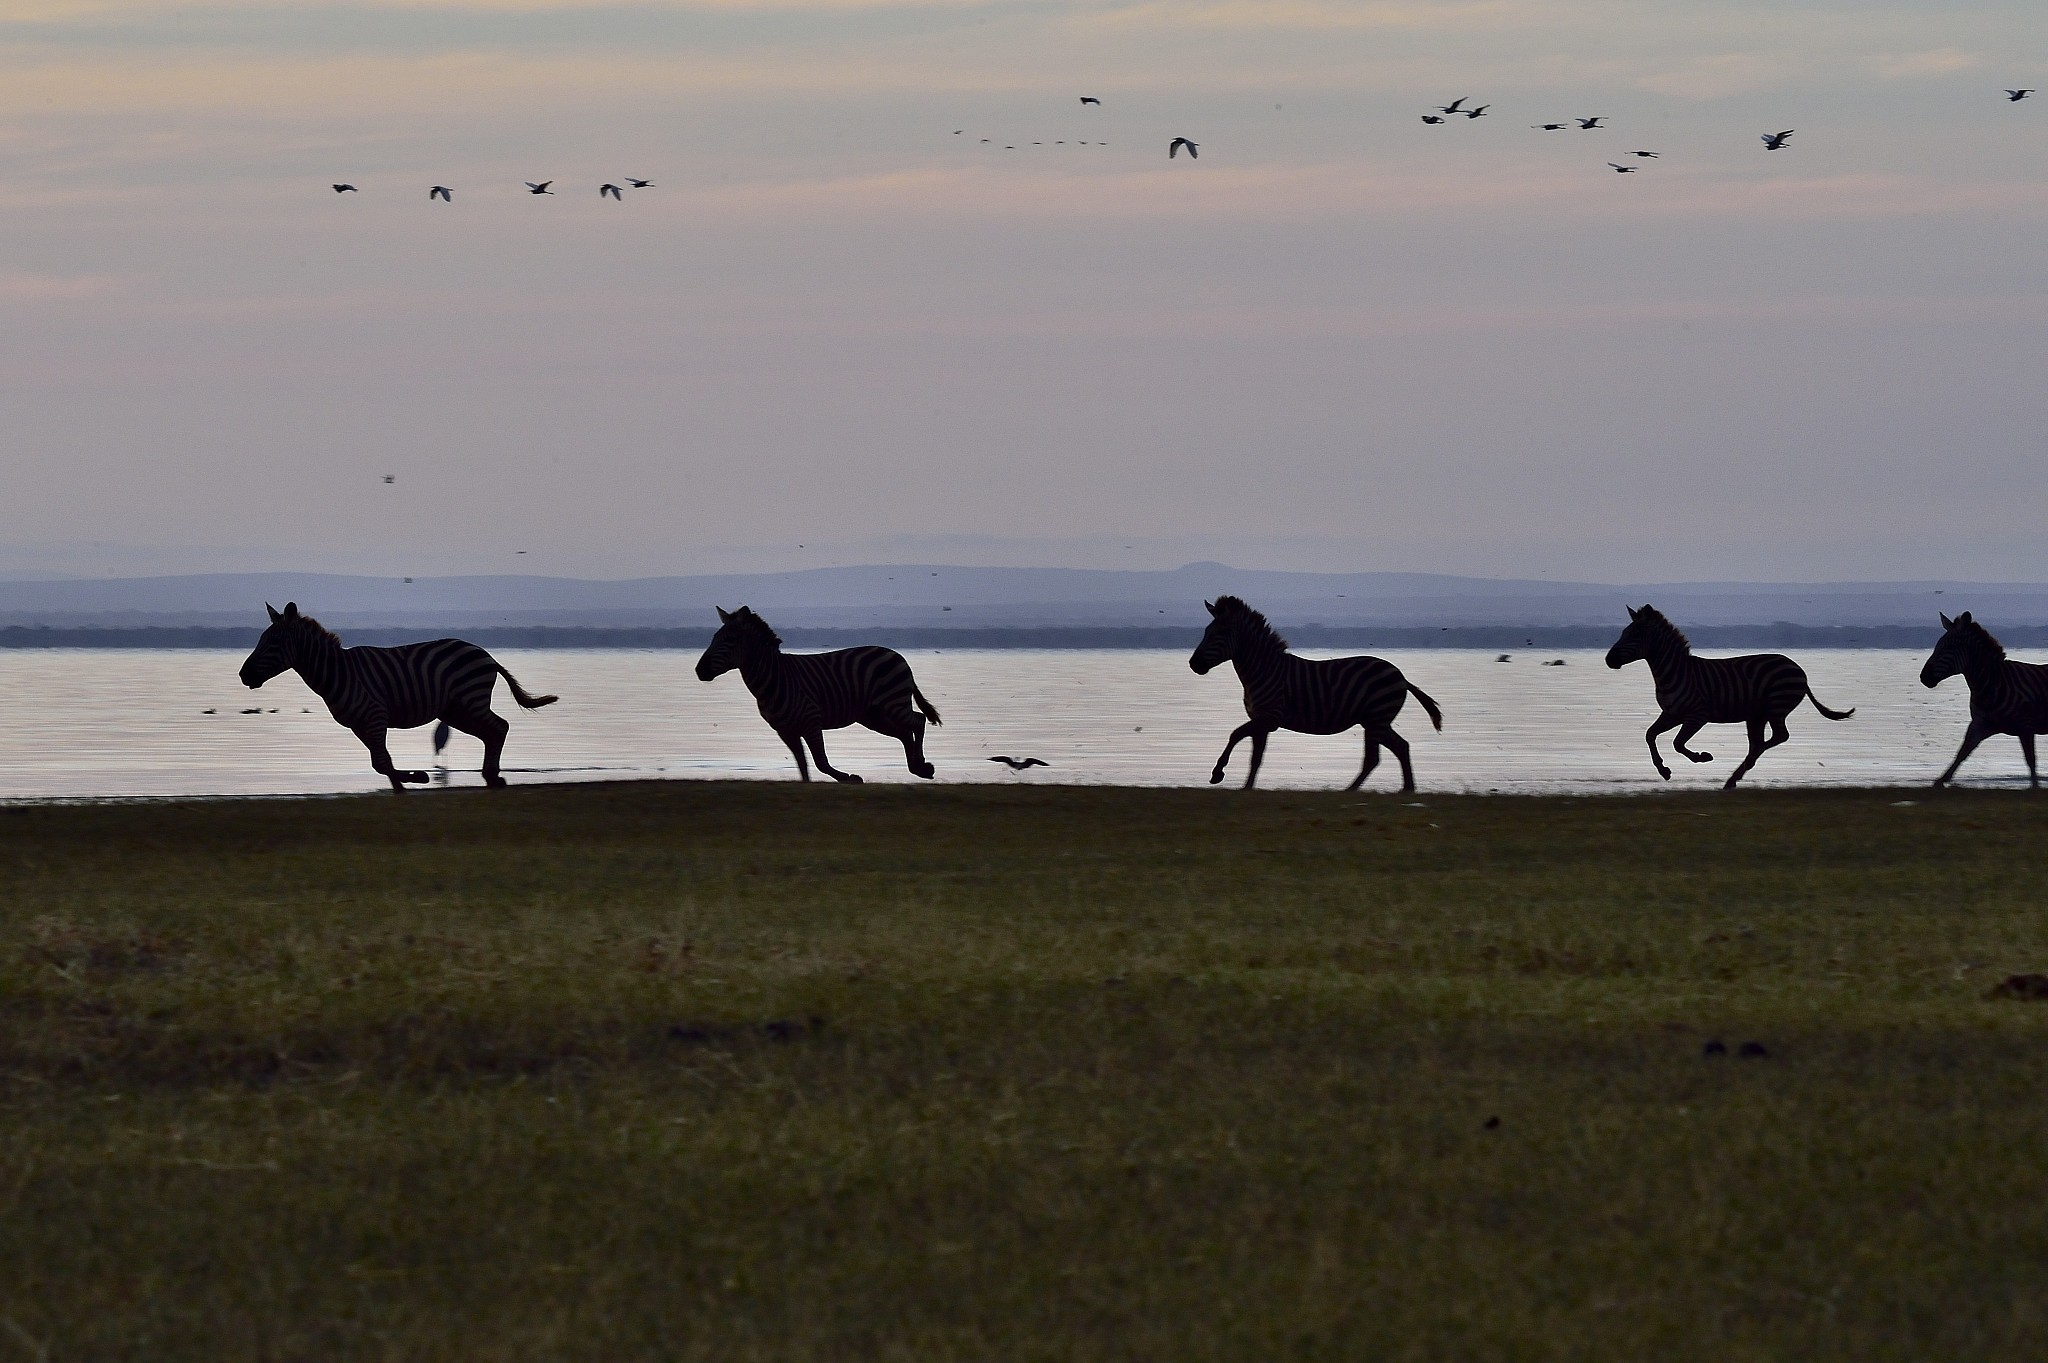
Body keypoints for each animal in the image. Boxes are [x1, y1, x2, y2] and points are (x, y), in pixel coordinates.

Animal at [237, 601, 557, 790]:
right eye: (261, 640)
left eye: (273, 642)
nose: (243, 675)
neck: (338, 672)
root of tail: (486, 654)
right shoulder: (359, 724)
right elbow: (382, 762)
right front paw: (401, 784)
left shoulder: (375, 715)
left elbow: (381, 762)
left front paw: (414, 778)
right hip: (455, 711)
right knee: (491, 732)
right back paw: (490, 774)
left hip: (469, 702)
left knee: (499, 727)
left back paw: (492, 775)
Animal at [695, 606, 941, 783]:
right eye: (714, 637)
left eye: (730, 639)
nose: (699, 670)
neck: (774, 678)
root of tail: (897, 655)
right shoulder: (785, 730)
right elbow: (802, 765)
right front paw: (808, 786)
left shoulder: (811, 721)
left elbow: (820, 761)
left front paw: (850, 778)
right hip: (874, 715)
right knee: (904, 732)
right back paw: (918, 768)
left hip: (892, 703)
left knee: (917, 721)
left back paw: (921, 765)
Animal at [1187, 595, 1442, 791]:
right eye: (1206, 631)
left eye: (1219, 633)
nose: (1193, 664)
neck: (1263, 669)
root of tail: (1401, 676)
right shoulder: (1260, 720)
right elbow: (1255, 758)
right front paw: (1247, 787)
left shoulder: (1269, 717)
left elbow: (1235, 734)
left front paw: (1217, 773)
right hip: (1376, 721)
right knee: (1399, 747)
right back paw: (1405, 789)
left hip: (1376, 719)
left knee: (1375, 757)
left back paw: (1351, 791)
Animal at [1604, 604, 1853, 789]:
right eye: (1623, 633)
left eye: (1634, 634)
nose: (1608, 660)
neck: (1674, 671)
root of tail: (1798, 668)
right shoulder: (1671, 713)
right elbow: (1650, 735)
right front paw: (1663, 770)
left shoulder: (1697, 715)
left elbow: (1677, 743)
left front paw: (1702, 757)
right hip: (1757, 715)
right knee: (1760, 743)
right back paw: (1734, 777)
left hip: (1775, 708)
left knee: (1775, 738)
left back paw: (1740, 770)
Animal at [1920, 611, 2048, 788]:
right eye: (1937, 646)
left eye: (1949, 647)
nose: (1923, 677)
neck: (1991, 685)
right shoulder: (1979, 725)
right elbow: (1961, 753)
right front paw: (1940, 781)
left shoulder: (2026, 727)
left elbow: (2031, 761)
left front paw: (2035, 788)